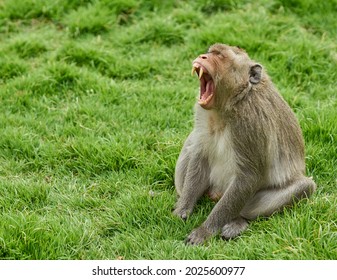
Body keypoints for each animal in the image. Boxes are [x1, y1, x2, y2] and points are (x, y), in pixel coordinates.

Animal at [172, 42, 316, 244]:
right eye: (210, 52)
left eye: (220, 56)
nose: (203, 57)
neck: (230, 104)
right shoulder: (202, 113)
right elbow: (200, 155)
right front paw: (183, 208)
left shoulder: (250, 123)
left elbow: (248, 176)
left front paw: (204, 230)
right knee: (193, 140)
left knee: (304, 187)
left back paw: (238, 221)